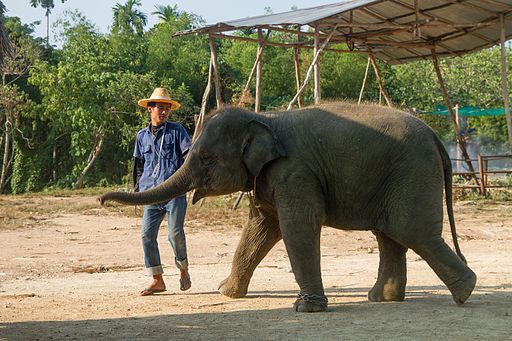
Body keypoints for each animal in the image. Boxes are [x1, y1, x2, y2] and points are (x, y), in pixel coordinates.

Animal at [100, 102, 476, 312]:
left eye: (206, 159)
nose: (102, 200)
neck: (264, 118)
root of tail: (435, 137)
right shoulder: (268, 176)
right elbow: (261, 227)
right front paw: (226, 292)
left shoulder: (294, 171)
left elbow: (297, 225)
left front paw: (305, 308)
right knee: (389, 234)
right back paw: (382, 299)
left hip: (412, 173)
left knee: (408, 230)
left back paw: (465, 291)